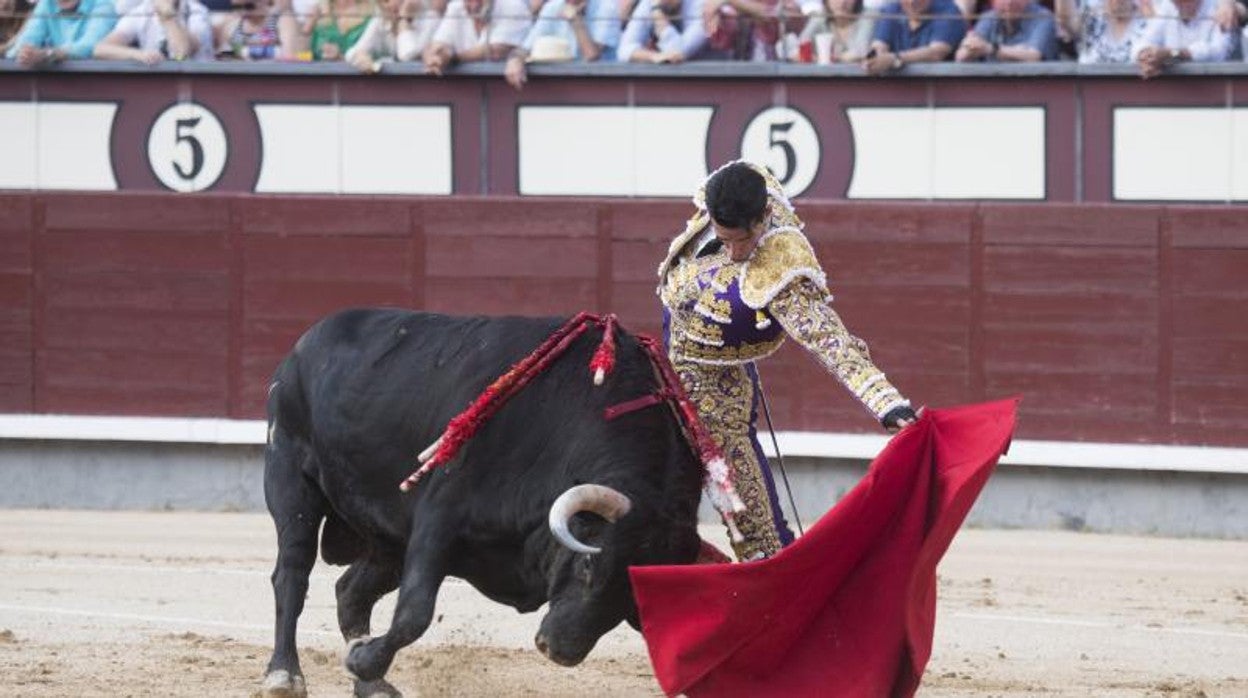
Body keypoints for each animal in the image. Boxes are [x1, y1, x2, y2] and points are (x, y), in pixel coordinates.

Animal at [258, 310, 708, 698]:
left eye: (633, 593)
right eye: (586, 564)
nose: (559, 650)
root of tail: (305, 343)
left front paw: (362, 662)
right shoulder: (439, 520)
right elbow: (415, 612)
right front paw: (360, 660)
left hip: (386, 537)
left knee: (350, 591)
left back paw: (375, 687)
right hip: (291, 478)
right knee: (292, 575)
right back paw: (284, 675)